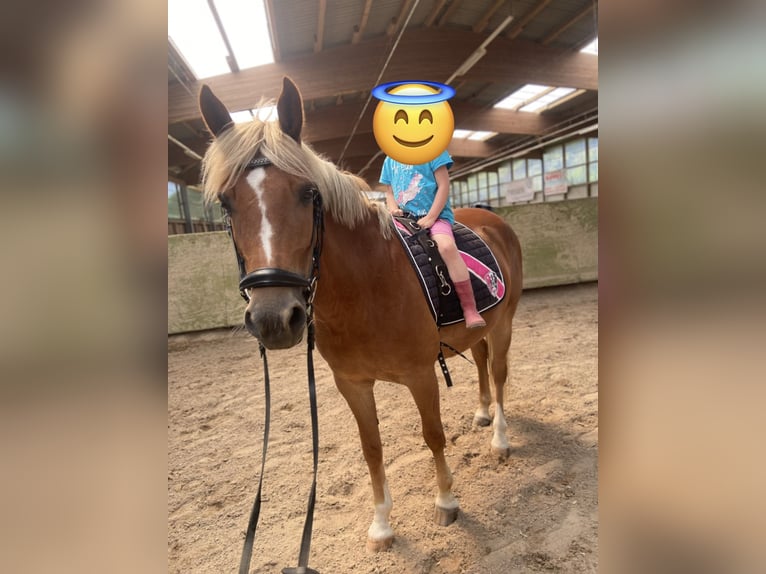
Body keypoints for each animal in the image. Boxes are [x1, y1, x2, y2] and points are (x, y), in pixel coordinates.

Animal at [198, 77, 523, 552]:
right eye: (226, 203)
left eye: (307, 194)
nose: (274, 318)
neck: (367, 286)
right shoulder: (351, 383)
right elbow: (371, 447)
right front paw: (382, 525)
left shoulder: (420, 374)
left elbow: (433, 433)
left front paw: (446, 501)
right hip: (479, 328)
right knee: (481, 361)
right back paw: (482, 414)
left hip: (504, 324)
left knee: (498, 374)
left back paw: (499, 438)